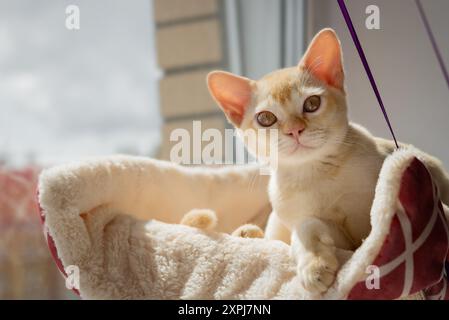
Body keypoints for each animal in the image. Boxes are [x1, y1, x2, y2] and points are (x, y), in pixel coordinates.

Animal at [206, 28, 448, 294]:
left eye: (312, 104)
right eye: (266, 118)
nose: (294, 130)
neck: (317, 175)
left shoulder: (362, 231)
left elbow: (371, 232)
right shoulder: (319, 226)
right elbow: (306, 228)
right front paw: (314, 265)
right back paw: (246, 233)